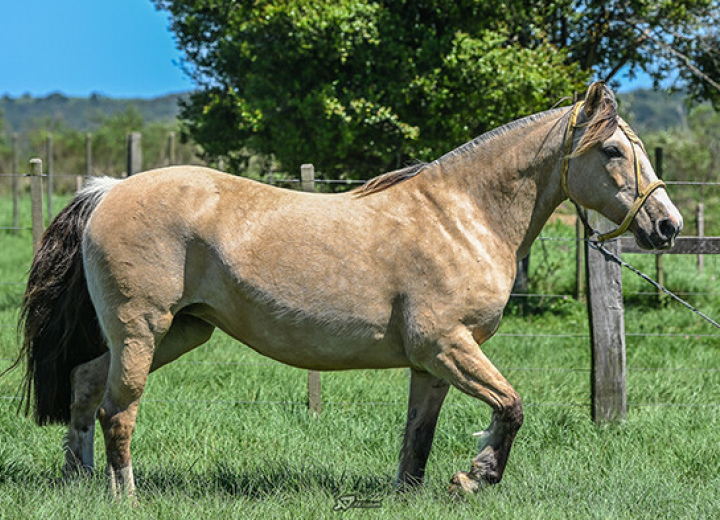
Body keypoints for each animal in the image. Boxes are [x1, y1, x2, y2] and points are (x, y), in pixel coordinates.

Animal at [15, 83, 680, 498]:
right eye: (612, 149)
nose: (667, 225)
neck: (460, 217)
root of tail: (108, 189)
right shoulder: (448, 346)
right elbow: (511, 407)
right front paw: (476, 476)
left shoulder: (431, 363)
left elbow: (418, 439)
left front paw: (416, 491)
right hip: (143, 330)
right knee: (117, 412)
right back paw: (126, 495)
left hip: (180, 331)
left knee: (84, 387)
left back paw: (79, 480)